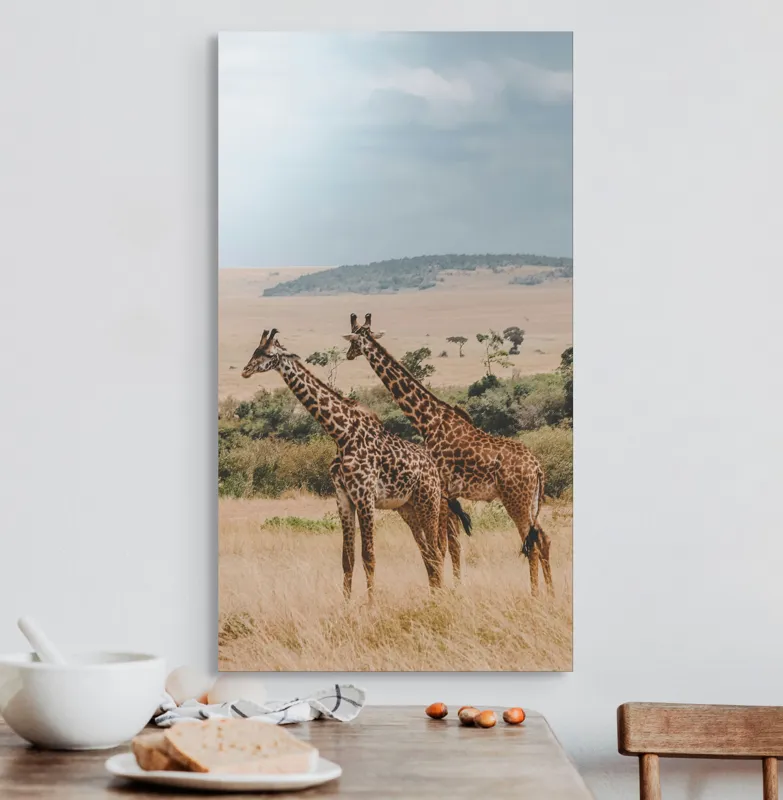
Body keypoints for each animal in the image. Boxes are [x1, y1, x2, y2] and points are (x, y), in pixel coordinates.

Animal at [241, 328, 471, 600]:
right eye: (255, 350)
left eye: (268, 353)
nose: (245, 370)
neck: (341, 434)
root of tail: (433, 469)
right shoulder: (343, 497)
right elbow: (347, 558)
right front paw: (346, 603)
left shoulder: (365, 497)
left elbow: (368, 556)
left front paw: (371, 604)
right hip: (407, 507)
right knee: (428, 551)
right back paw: (434, 595)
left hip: (430, 501)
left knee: (438, 549)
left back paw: (440, 596)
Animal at [344, 314, 554, 597]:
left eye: (354, 339)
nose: (347, 355)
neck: (428, 420)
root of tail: (538, 469)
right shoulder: (450, 494)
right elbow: (453, 544)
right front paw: (454, 588)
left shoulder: (441, 490)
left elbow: (442, 546)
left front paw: (442, 591)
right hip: (531, 502)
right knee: (543, 538)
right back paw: (550, 593)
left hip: (516, 501)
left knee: (529, 544)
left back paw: (534, 595)